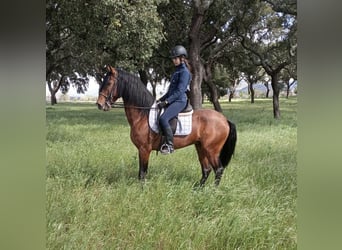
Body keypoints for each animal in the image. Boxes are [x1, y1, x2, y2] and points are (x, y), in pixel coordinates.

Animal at [95, 65, 236, 187]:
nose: (99, 104)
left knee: (218, 169)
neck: (143, 114)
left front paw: (142, 191)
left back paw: (212, 191)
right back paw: (197, 190)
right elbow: (141, 172)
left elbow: (142, 173)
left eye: (109, 83)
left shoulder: (144, 149)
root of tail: (224, 120)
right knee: (206, 169)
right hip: (200, 147)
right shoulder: (142, 150)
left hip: (211, 150)